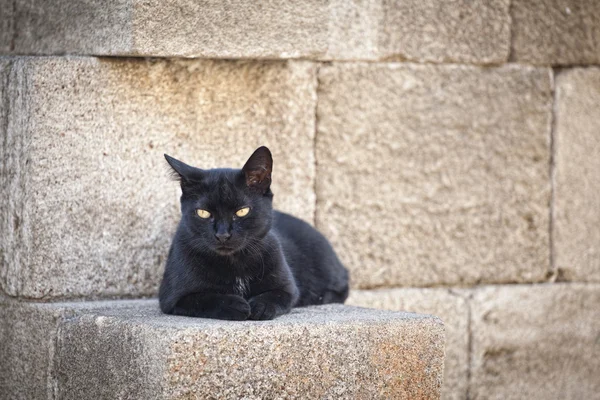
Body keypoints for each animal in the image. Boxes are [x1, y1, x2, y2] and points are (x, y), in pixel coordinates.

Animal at [159, 147, 350, 322]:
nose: (222, 234)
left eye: (242, 211)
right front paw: (236, 305)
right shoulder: (172, 297)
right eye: (203, 213)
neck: (234, 262)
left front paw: (260, 306)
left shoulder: (288, 287)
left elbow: (276, 295)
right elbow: (204, 298)